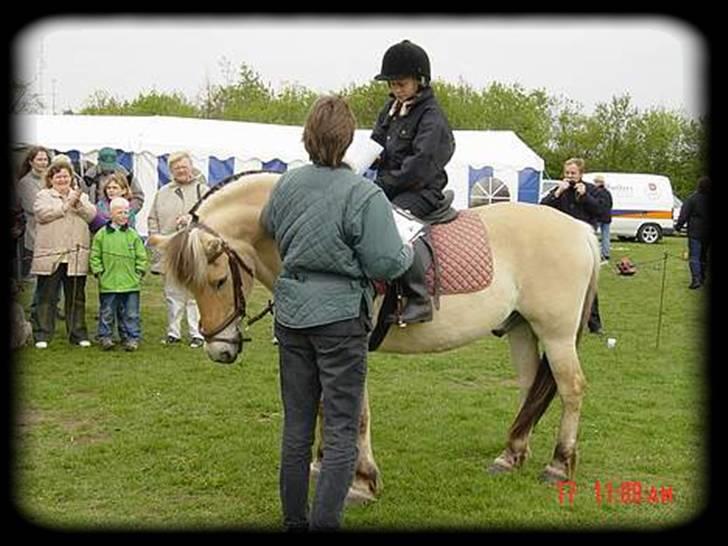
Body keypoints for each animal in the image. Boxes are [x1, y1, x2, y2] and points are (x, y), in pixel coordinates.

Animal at [146, 170, 596, 502]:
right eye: (190, 286)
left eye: (220, 281)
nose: (219, 351)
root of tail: (580, 229)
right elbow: (324, 404)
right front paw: (321, 464)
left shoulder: (349, 346)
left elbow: (356, 412)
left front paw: (361, 481)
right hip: (522, 329)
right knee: (531, 389)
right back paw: (511, 455)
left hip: (555, 334)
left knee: (571, 388)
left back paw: (559, 464)